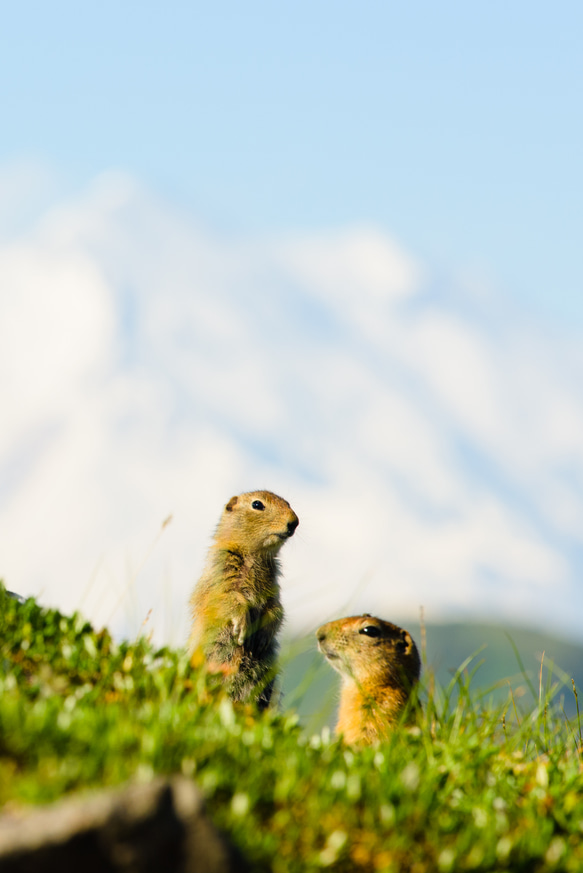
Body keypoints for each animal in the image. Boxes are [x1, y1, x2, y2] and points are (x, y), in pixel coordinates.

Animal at [189, 490, 298, 708]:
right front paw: (241, 626)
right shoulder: (223, 568)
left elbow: (276, 607)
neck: (255, 555)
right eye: (257, 504)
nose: (294, 522)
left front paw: (263, 635)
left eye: (288, 503)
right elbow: (227, 597)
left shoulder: (274, 586)